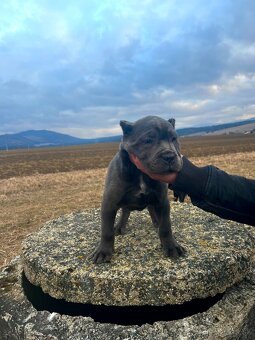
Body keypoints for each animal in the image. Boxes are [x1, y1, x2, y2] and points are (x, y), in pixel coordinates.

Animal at [91, 115, 185, 262]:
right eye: (148, 140)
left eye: (174, 138)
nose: (169, 156)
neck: (141, 174)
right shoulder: (109, 203)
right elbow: (106, 231)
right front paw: (103, 251)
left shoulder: (162, 201)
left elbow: (166, 226)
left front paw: (171, 246)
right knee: (125, 211)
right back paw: (119, 227)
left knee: (150, 209)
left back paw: (156, 222)